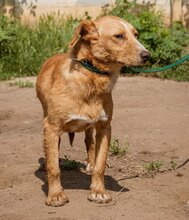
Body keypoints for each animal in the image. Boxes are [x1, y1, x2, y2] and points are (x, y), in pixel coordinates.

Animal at [36, 15, 150, 206]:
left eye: (136, 34)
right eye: (119, 36)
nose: (147, 55)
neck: (91, 77)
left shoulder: (105, 127)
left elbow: (100, 164)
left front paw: (98, 191)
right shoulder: (52, 127)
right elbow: (54, 167)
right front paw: (55, 194)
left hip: (90, 126)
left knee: (89, 142)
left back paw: (89, 163)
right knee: (55, 149)